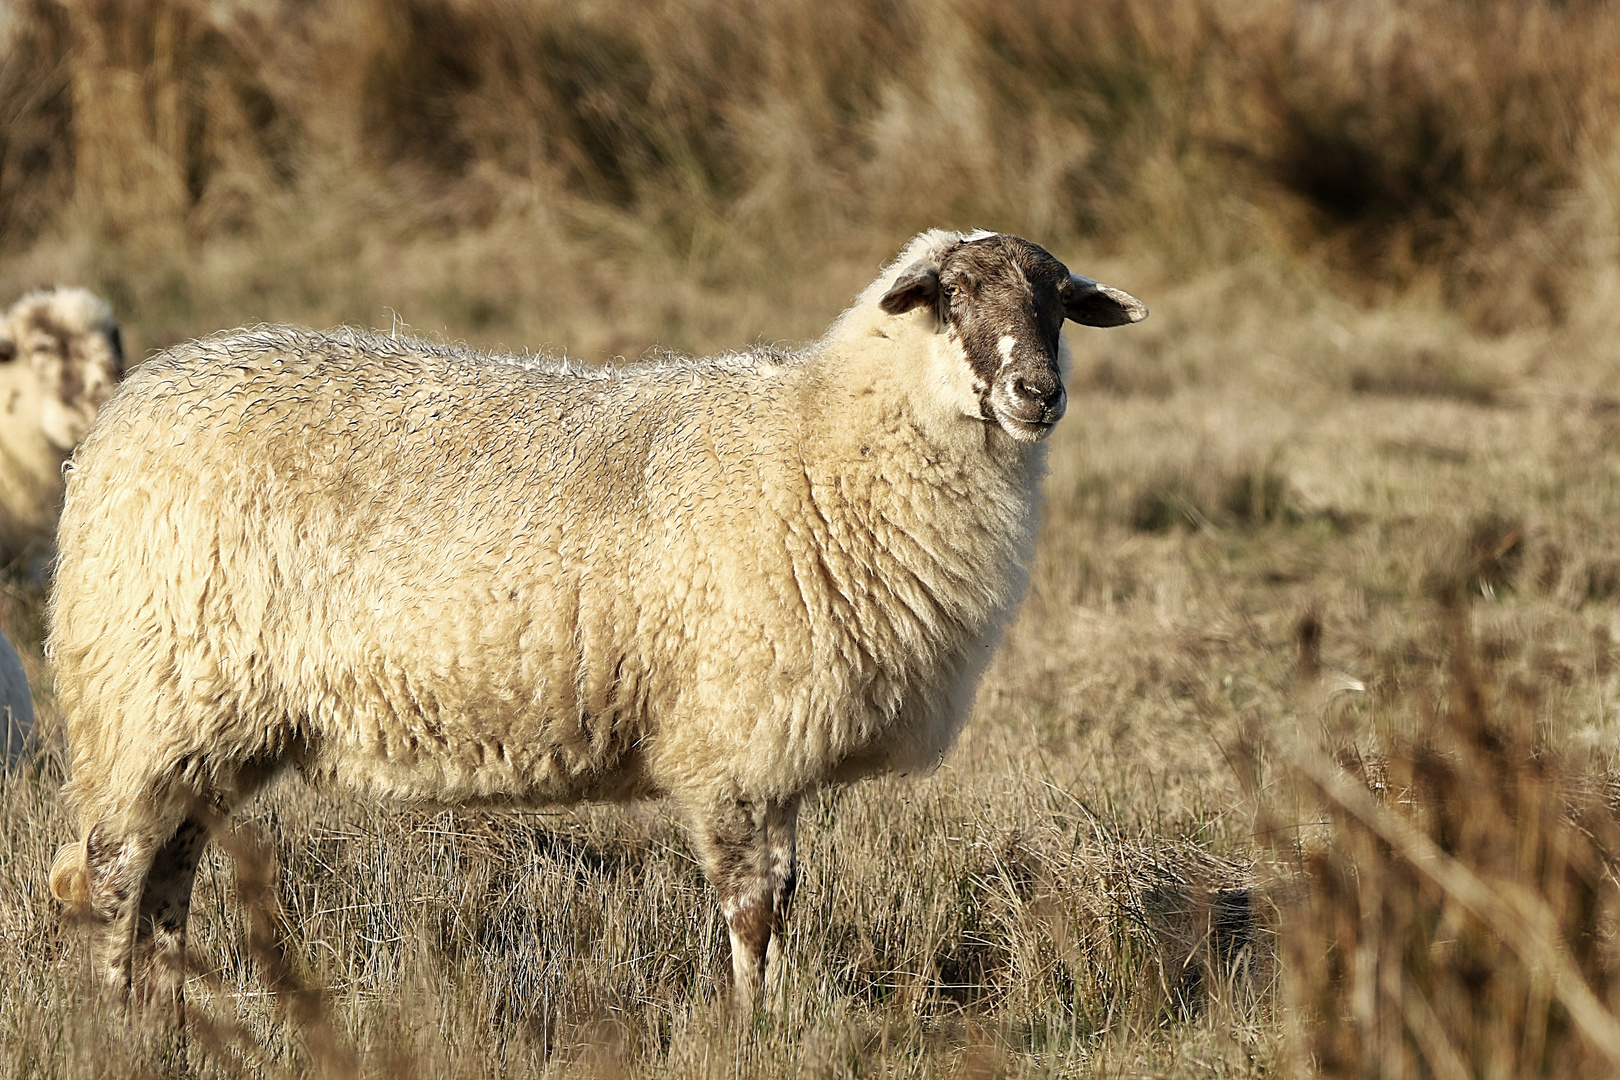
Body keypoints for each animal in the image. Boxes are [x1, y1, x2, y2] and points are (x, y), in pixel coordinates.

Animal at [50, 223, 1153, 1010]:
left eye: (1058, 306)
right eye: (950, 299)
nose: (1038, 393)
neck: (826, 442)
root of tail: (120, 418)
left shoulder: (774, 747)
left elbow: (787, 899)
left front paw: (775, 1020)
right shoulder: (730, 744)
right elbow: (751, 907)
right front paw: (747, 1031)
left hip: (203, 727)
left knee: (167, 879)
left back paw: (167, 1020)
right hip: (147, 698)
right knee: (111, 880)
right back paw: (115, 1026)